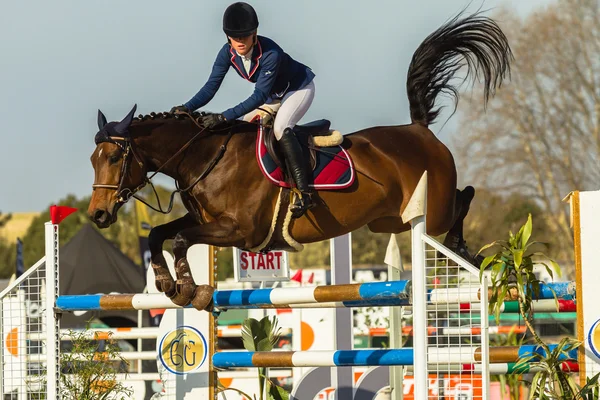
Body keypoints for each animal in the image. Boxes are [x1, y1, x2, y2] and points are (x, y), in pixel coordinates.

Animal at [88, 13, 510, 310]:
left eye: (115, 156)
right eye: (93, 159)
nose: (97, 214)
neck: (205, 156)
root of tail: (419, 129)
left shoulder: (240, 230)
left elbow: (178, 239)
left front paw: (192, 290)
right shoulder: (204, 220)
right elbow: (160, 234)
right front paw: (166, 284)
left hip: (430, 210)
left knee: (464, 197)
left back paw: (463, 248)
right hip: (389, 220)